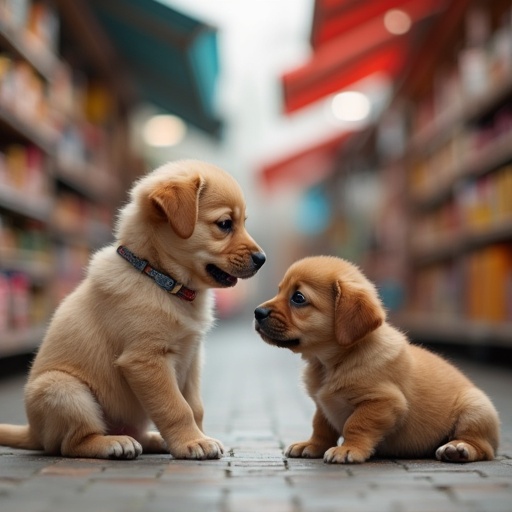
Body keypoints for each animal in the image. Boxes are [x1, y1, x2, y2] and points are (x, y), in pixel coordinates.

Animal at [3, 160, 268, 460]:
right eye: (225, 224)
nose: (262, 259)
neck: (160, 278)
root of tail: (33, 432)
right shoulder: (145, 359)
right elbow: (176, 407)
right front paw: (192, 442)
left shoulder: (192, 359)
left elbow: (195, 406)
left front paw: (198, 437)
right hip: (64, 389)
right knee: (72, 444)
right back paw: (112, 443)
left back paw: (154, 440)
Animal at [255, 256, 500, 464]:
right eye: (279, 291)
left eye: (298, 298)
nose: (257, 312)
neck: (331, 363)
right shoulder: (322, 405)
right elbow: (320, 426)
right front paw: (312, 445)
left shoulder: (382, 402)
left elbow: (356, 424)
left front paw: (348, 449)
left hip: (475, 408)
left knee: (483, 448)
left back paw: (457, 448)